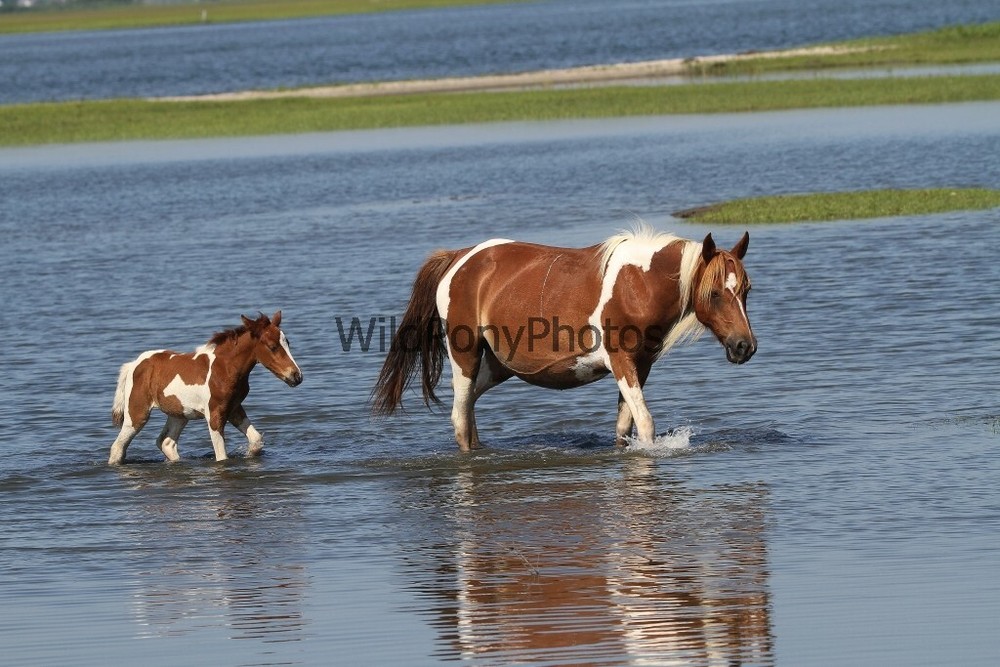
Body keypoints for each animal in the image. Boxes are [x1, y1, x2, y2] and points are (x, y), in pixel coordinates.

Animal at [108, 311, 302, 464]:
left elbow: (256, 440)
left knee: (165, 442)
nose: (296, 376)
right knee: (117, 447)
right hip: (137, 413)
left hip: (179, 414)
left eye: (288, 343)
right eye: (272, 347)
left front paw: (248, 455)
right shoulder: (214, 414)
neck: (225, 368)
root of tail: (134, 364)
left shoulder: (233, 408)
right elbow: (222, 457)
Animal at [372, 226, 755, 450]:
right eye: (715, 294)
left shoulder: (640, 366)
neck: (638, 284)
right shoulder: (621, 362)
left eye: (746, 290)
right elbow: (646, 424)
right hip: (465, 357)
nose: (744, 346)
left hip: (498, 367)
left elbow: (624, 427)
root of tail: (459, 258)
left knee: (468, 411)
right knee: (460, 420)